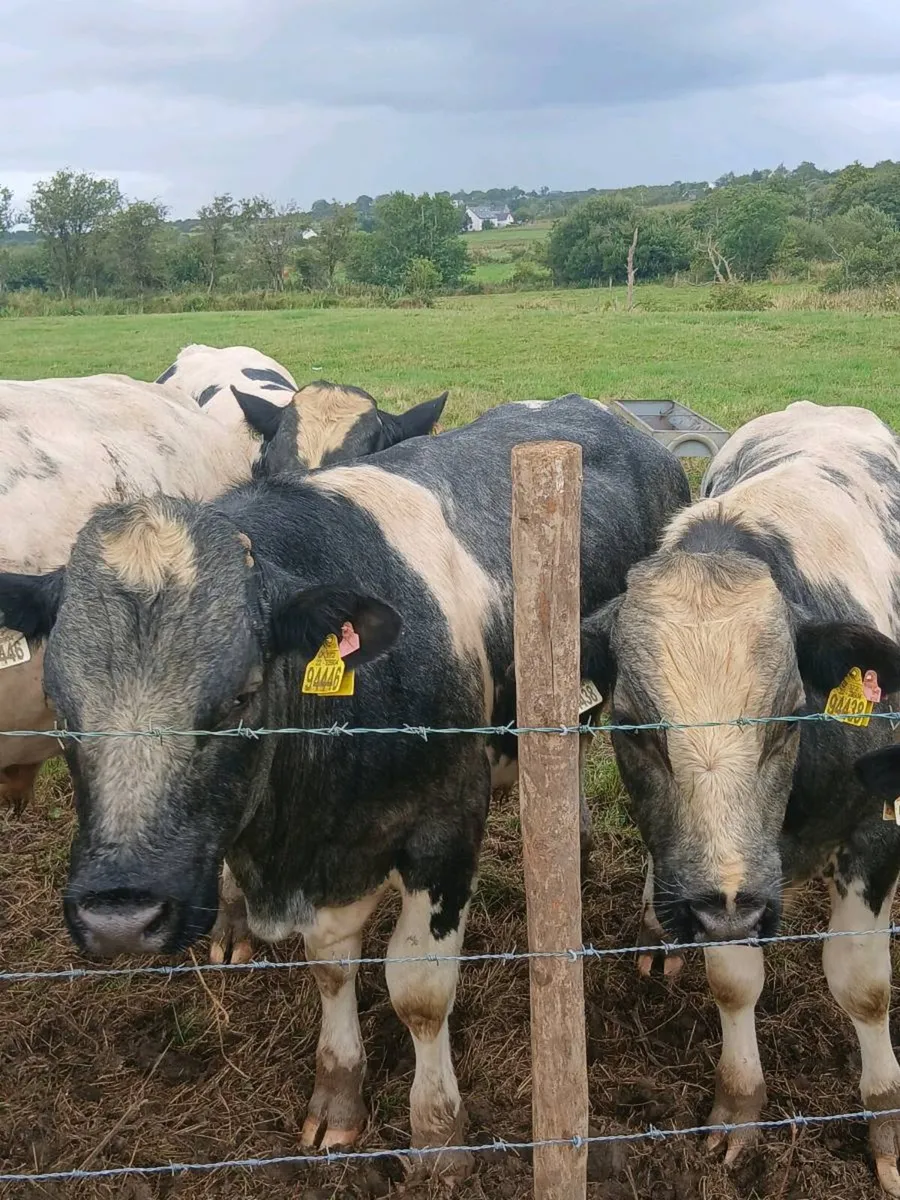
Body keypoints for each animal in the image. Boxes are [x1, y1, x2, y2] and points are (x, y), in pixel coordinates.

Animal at [0, 395, 689, 1176]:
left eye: (241, 696)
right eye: (59, 705)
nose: (121, 916)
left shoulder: (446, 827)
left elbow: (418, 988)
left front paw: (438, 1134)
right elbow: (331, 967)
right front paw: (338, 1097)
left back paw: (659, 931)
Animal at [578, 400, 900, 1195]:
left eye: (788, 715)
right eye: (635, 727)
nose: (722, 902)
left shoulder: (876, 831)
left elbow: (864, 985)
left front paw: (885, 1122)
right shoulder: (724, 893)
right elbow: (732, 980)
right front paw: (740, 1105)